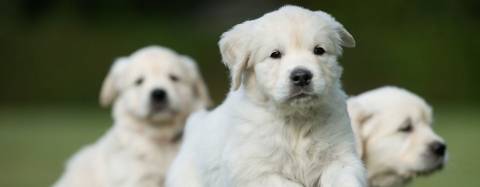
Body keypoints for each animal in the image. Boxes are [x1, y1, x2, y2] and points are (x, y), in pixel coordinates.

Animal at [167, 4, 366, 187]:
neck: (296, 120)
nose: (302, 76)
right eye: (275, 54)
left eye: (319, 50)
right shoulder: (253, 172)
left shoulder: (341, 158)